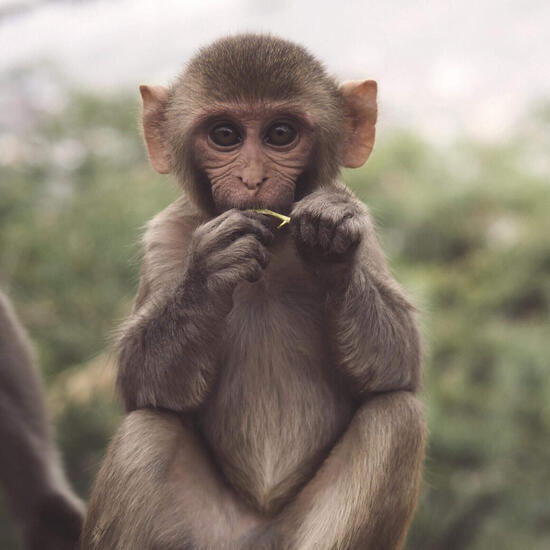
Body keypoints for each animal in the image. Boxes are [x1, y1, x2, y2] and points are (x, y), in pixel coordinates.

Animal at [81, 34, 426, 550]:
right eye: (225, 135)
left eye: (280, 133)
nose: (252, 179)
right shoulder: (165, 238)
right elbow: (143, 382)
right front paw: (210, 272)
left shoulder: (367, 236)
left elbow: (398, 363)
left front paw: (331, 243)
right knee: (148, 431)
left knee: (396, 418)